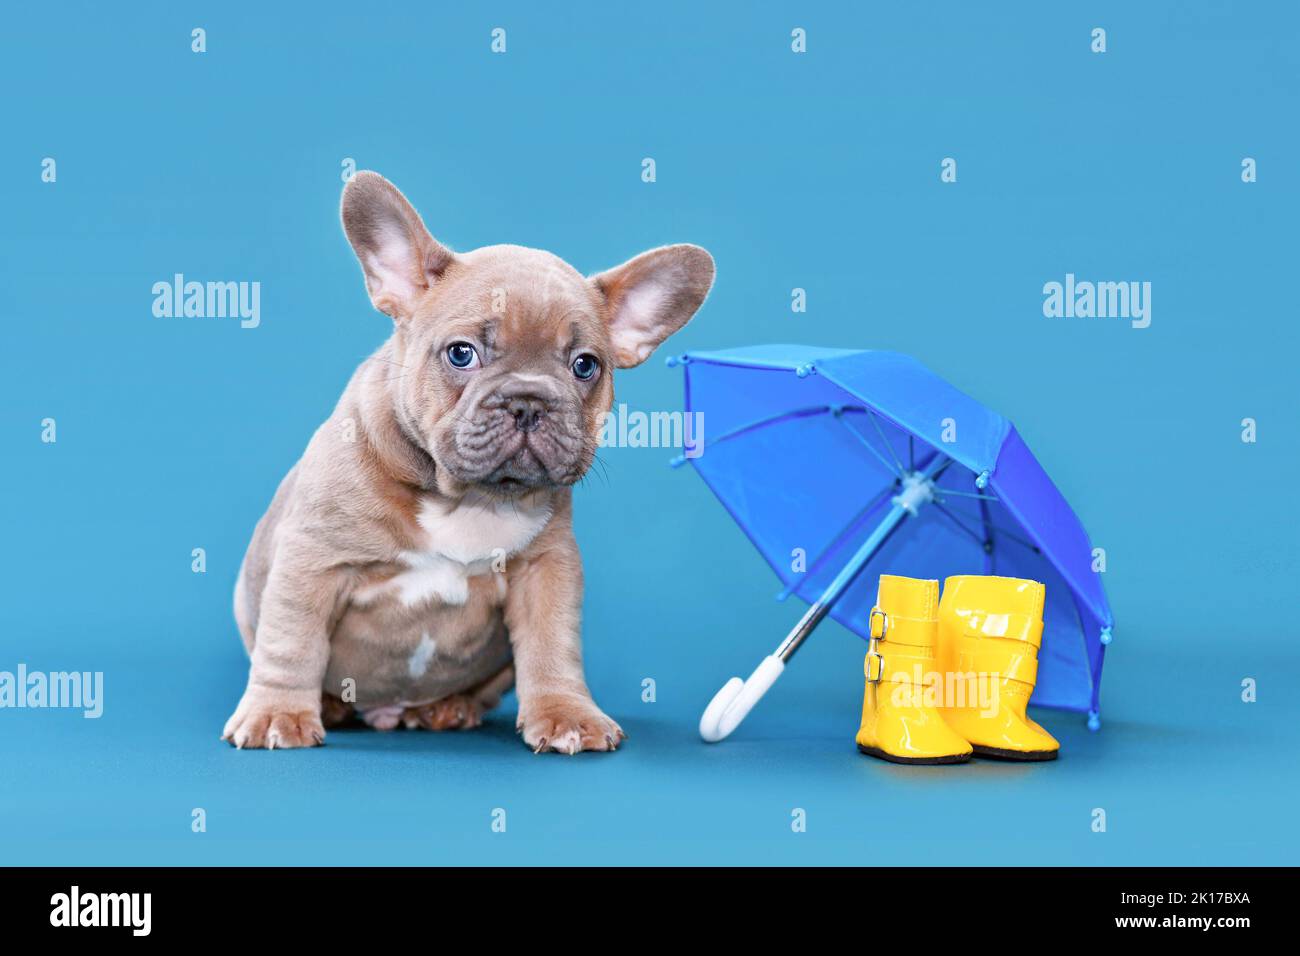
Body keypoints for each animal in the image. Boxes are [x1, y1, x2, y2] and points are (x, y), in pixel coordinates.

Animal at [223, 171, 712, 754]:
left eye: (585, 366)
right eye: (461, 353)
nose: (528, 401)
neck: (468, 497)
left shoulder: (546, 569)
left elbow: (553, 645)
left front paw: (567, 713)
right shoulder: (313, 561)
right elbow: (292, 642)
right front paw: (278, 712)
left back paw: (449, 707)